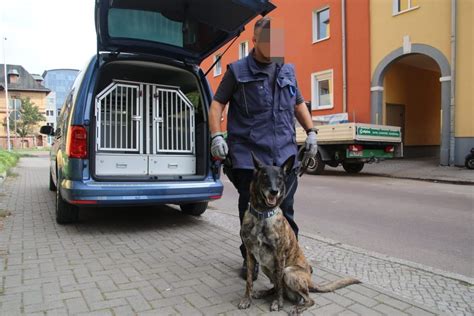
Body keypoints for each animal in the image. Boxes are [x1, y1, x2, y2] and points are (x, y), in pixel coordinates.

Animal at [237, 153, 360, 314]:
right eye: (265, 176)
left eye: (280, 178)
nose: (274, 191)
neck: (262, 215)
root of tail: (310, 281)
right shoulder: (251, 254)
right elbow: (249, 281)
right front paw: (247, 299)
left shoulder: (279, 256)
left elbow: (279, 287)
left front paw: (278, 303)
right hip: (266, 267)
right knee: (277, 287)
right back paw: (265, 292)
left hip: (288, 271)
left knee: (308, 298)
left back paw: (297, 307)